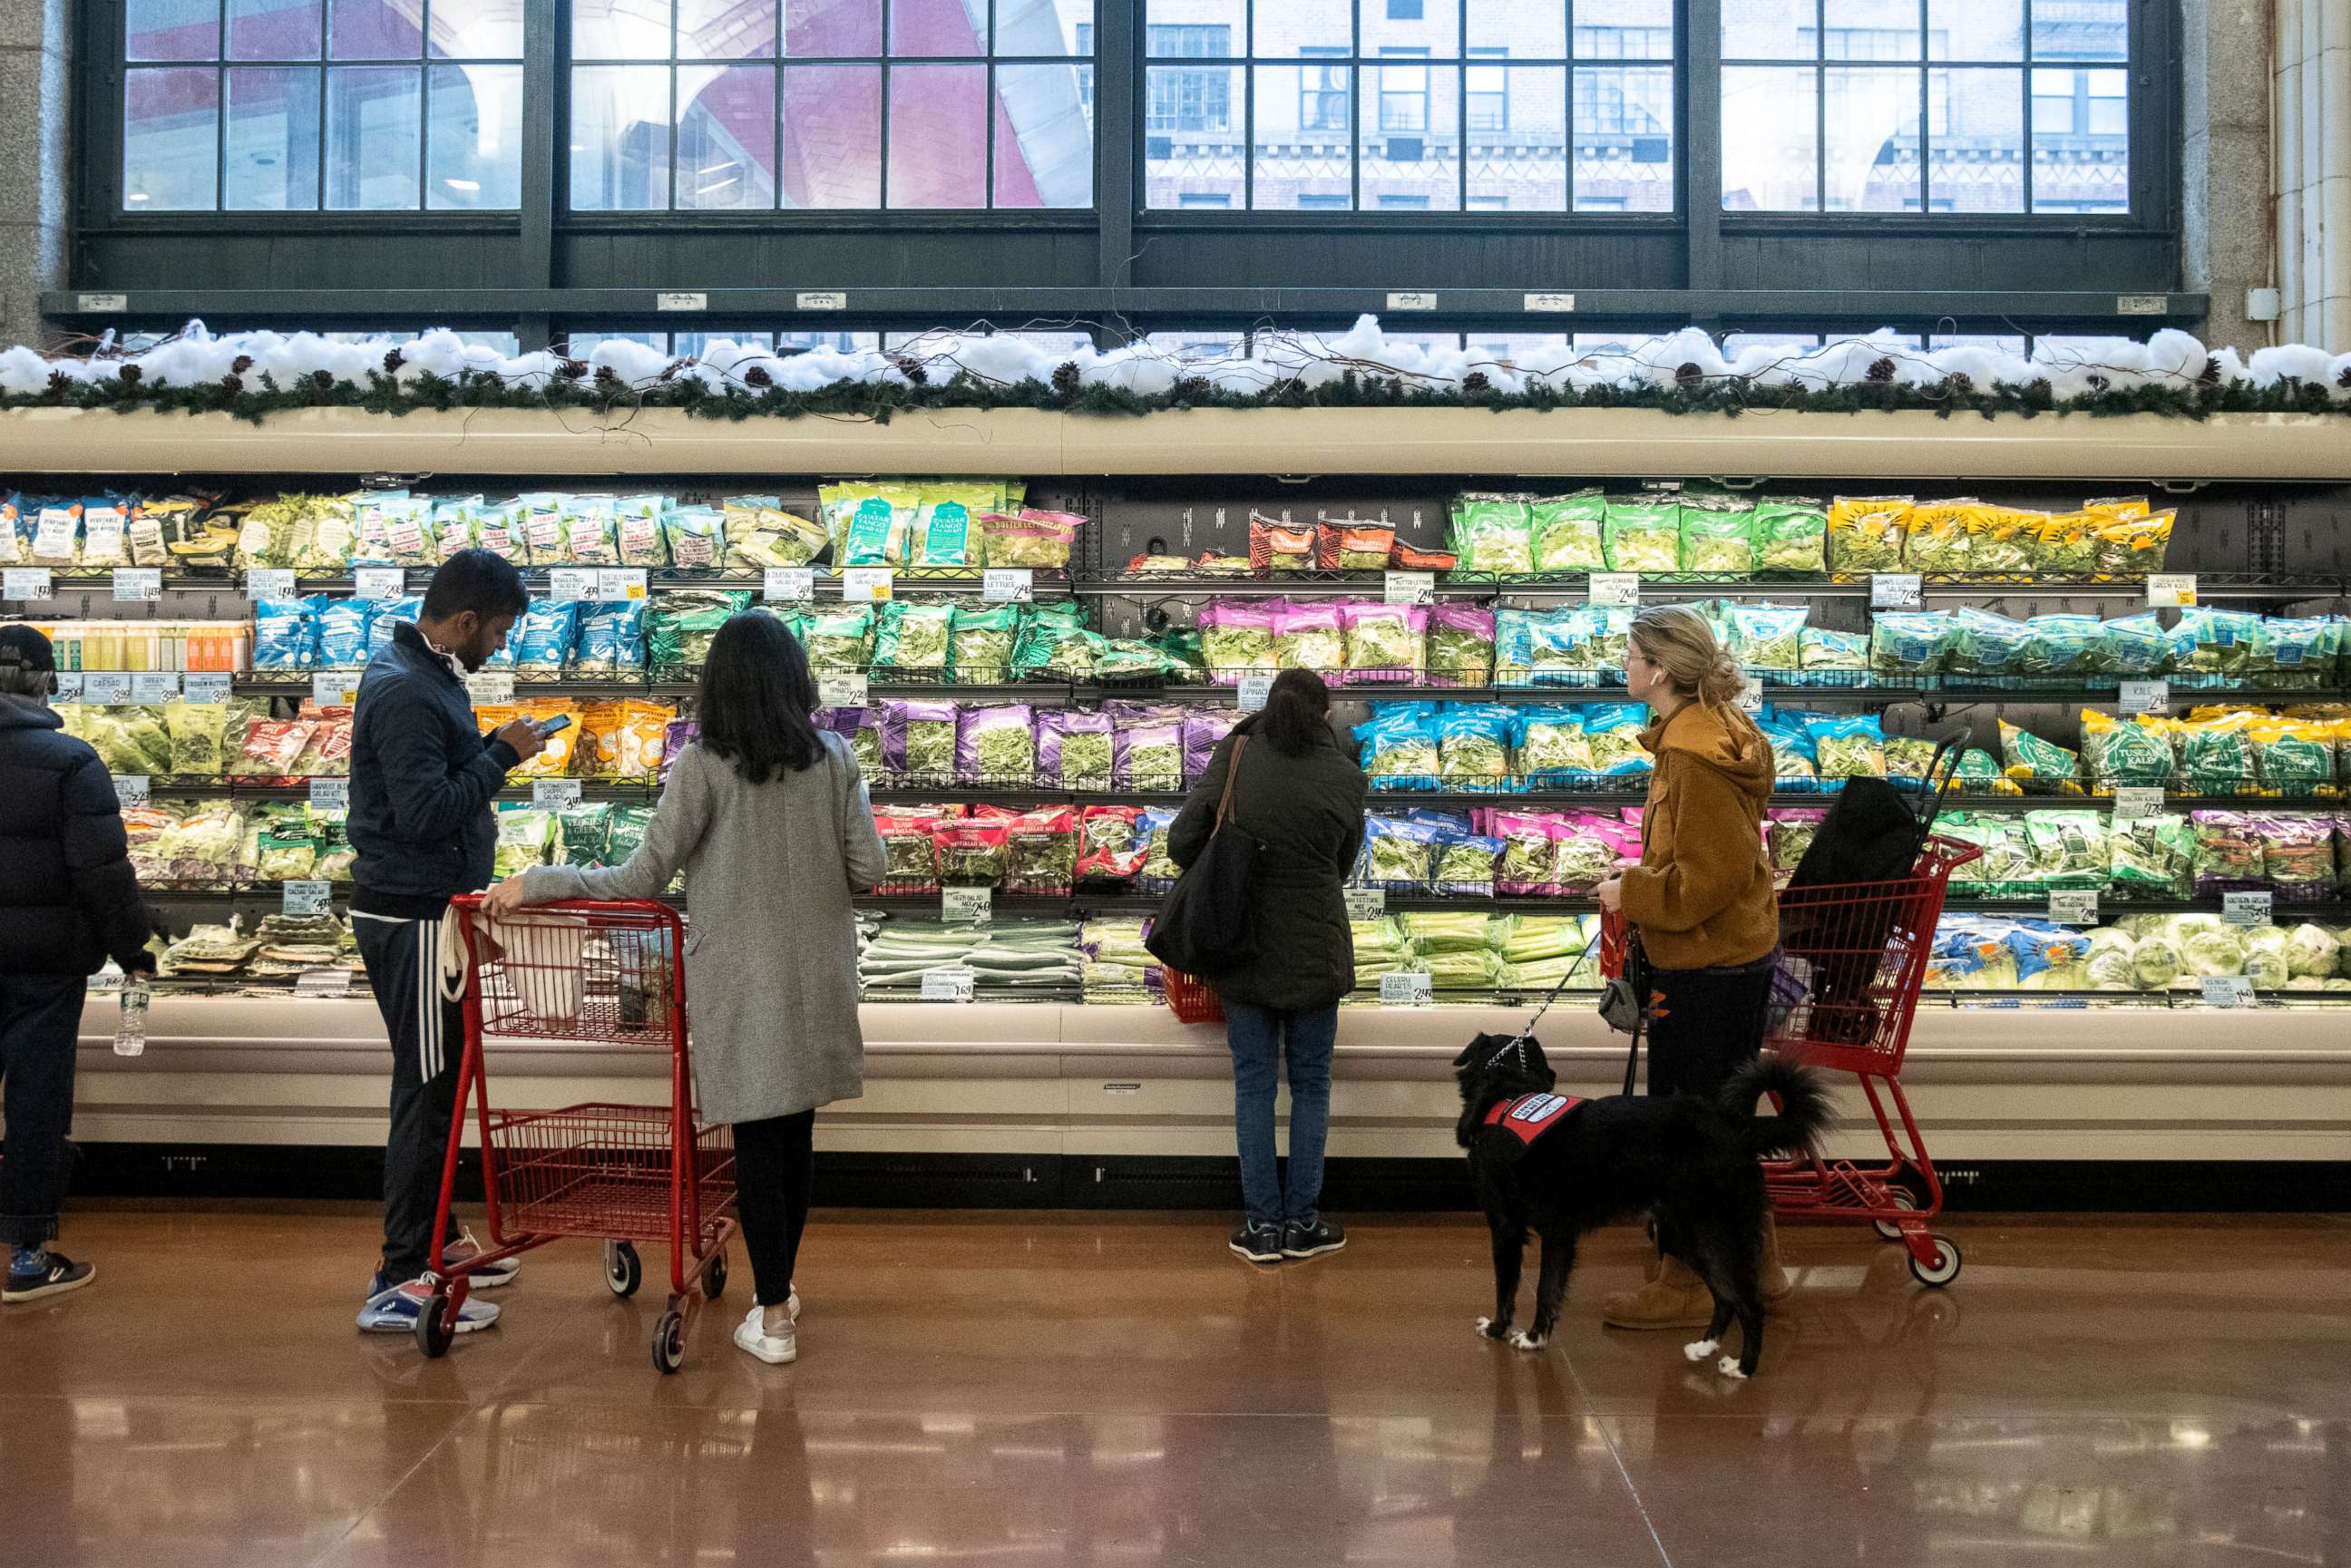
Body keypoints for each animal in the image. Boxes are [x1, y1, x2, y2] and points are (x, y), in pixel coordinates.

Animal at [1448, 1034, 1833, 1382]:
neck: (1510, 1090)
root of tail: (1738, 1131)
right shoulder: (1558, 1234)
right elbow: (1548, 1290)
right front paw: (1536, 1337)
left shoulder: (1511, 1229)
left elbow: (1516, 1288)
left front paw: (1507, 1331)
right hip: (1684, 1235)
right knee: (1725, 1297)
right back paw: (1705, 1346)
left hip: (1709, 1232)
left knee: (1750, 1304)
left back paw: (1744, 1367)